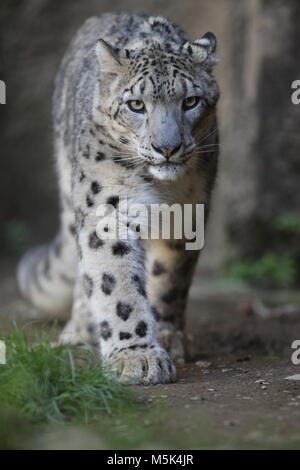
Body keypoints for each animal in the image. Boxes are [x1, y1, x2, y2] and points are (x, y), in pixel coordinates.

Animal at [17, 11, 218, 386]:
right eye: (136, 104)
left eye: (190, 101)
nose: (167, 148)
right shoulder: (108, 208)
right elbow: (115, 282)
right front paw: (136, 356)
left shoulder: (188, 212)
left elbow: (170, 276)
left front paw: (167, 335)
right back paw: (81, 329)